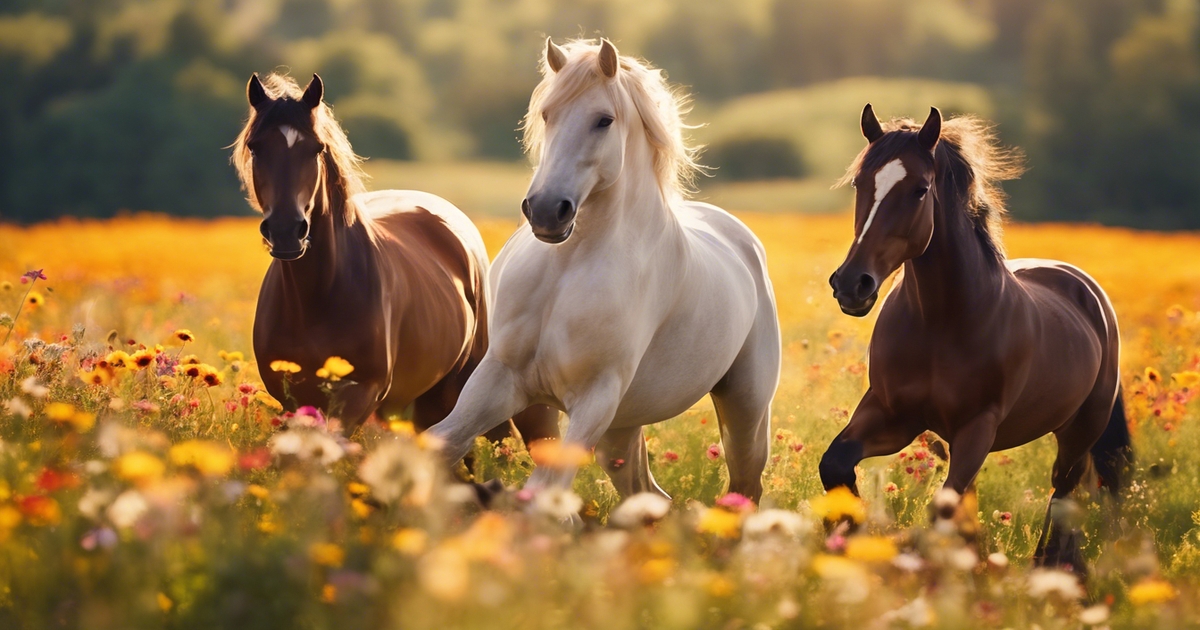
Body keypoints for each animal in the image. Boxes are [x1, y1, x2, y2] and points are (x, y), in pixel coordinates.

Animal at [231, 73, 559, 444]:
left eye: (316, 148)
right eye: (255, 146)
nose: (287, 231)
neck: (315, 297)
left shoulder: (358, 395)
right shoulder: (291, 401)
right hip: (429, 402)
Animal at [427, 39, 782, 501]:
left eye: (603, 120)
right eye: (548, 114)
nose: (546, 211)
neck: (569, 268)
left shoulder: (595, 398)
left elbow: (545, 487)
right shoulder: (500, 379)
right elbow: (439, 443)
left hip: (744, 411)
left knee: (743, 488)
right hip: (621, 430)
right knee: (650, 496)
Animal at [820, 104, 1128, 568]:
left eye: (920, 190)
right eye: (861, 183)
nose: (853, 284)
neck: (940, 322)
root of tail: (1089, 292)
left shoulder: (977, 427)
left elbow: (941, 510)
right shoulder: (893, 414)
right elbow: (834, 464)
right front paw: (846, 539)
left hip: (1080, 432)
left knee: (1062, 494)